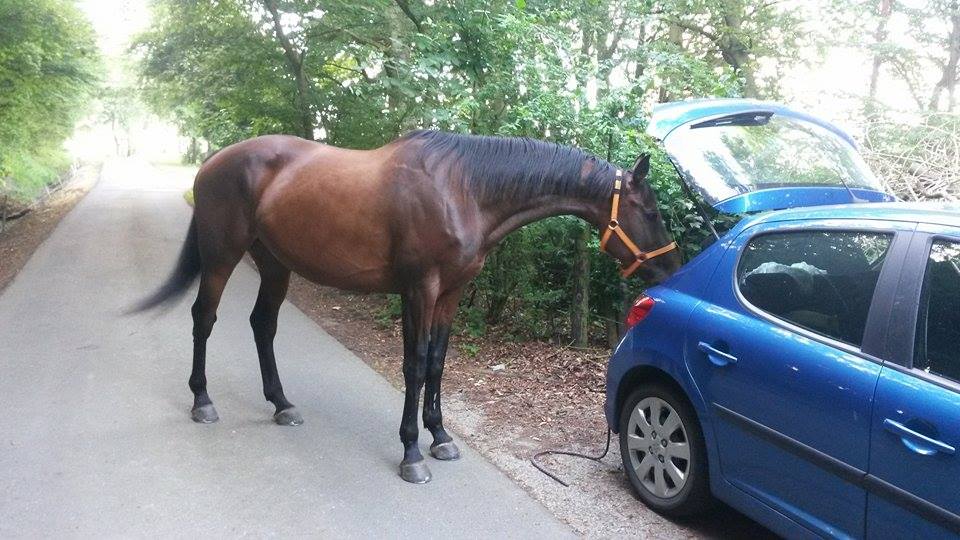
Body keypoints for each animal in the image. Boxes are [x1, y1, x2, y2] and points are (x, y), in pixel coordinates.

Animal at [134, 130, 681, 483]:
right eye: (651, 211)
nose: (672, 269)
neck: (464, 189)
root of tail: (212, 162)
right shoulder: (419, 289)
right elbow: (414, 365)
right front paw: (412, 451)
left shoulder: (451, 292)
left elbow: (437, 363)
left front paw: (440, 436)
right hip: (222, 255)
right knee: (204, 319)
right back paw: (203, 401)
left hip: (275, 264)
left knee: (262, 325)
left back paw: (282, 404)